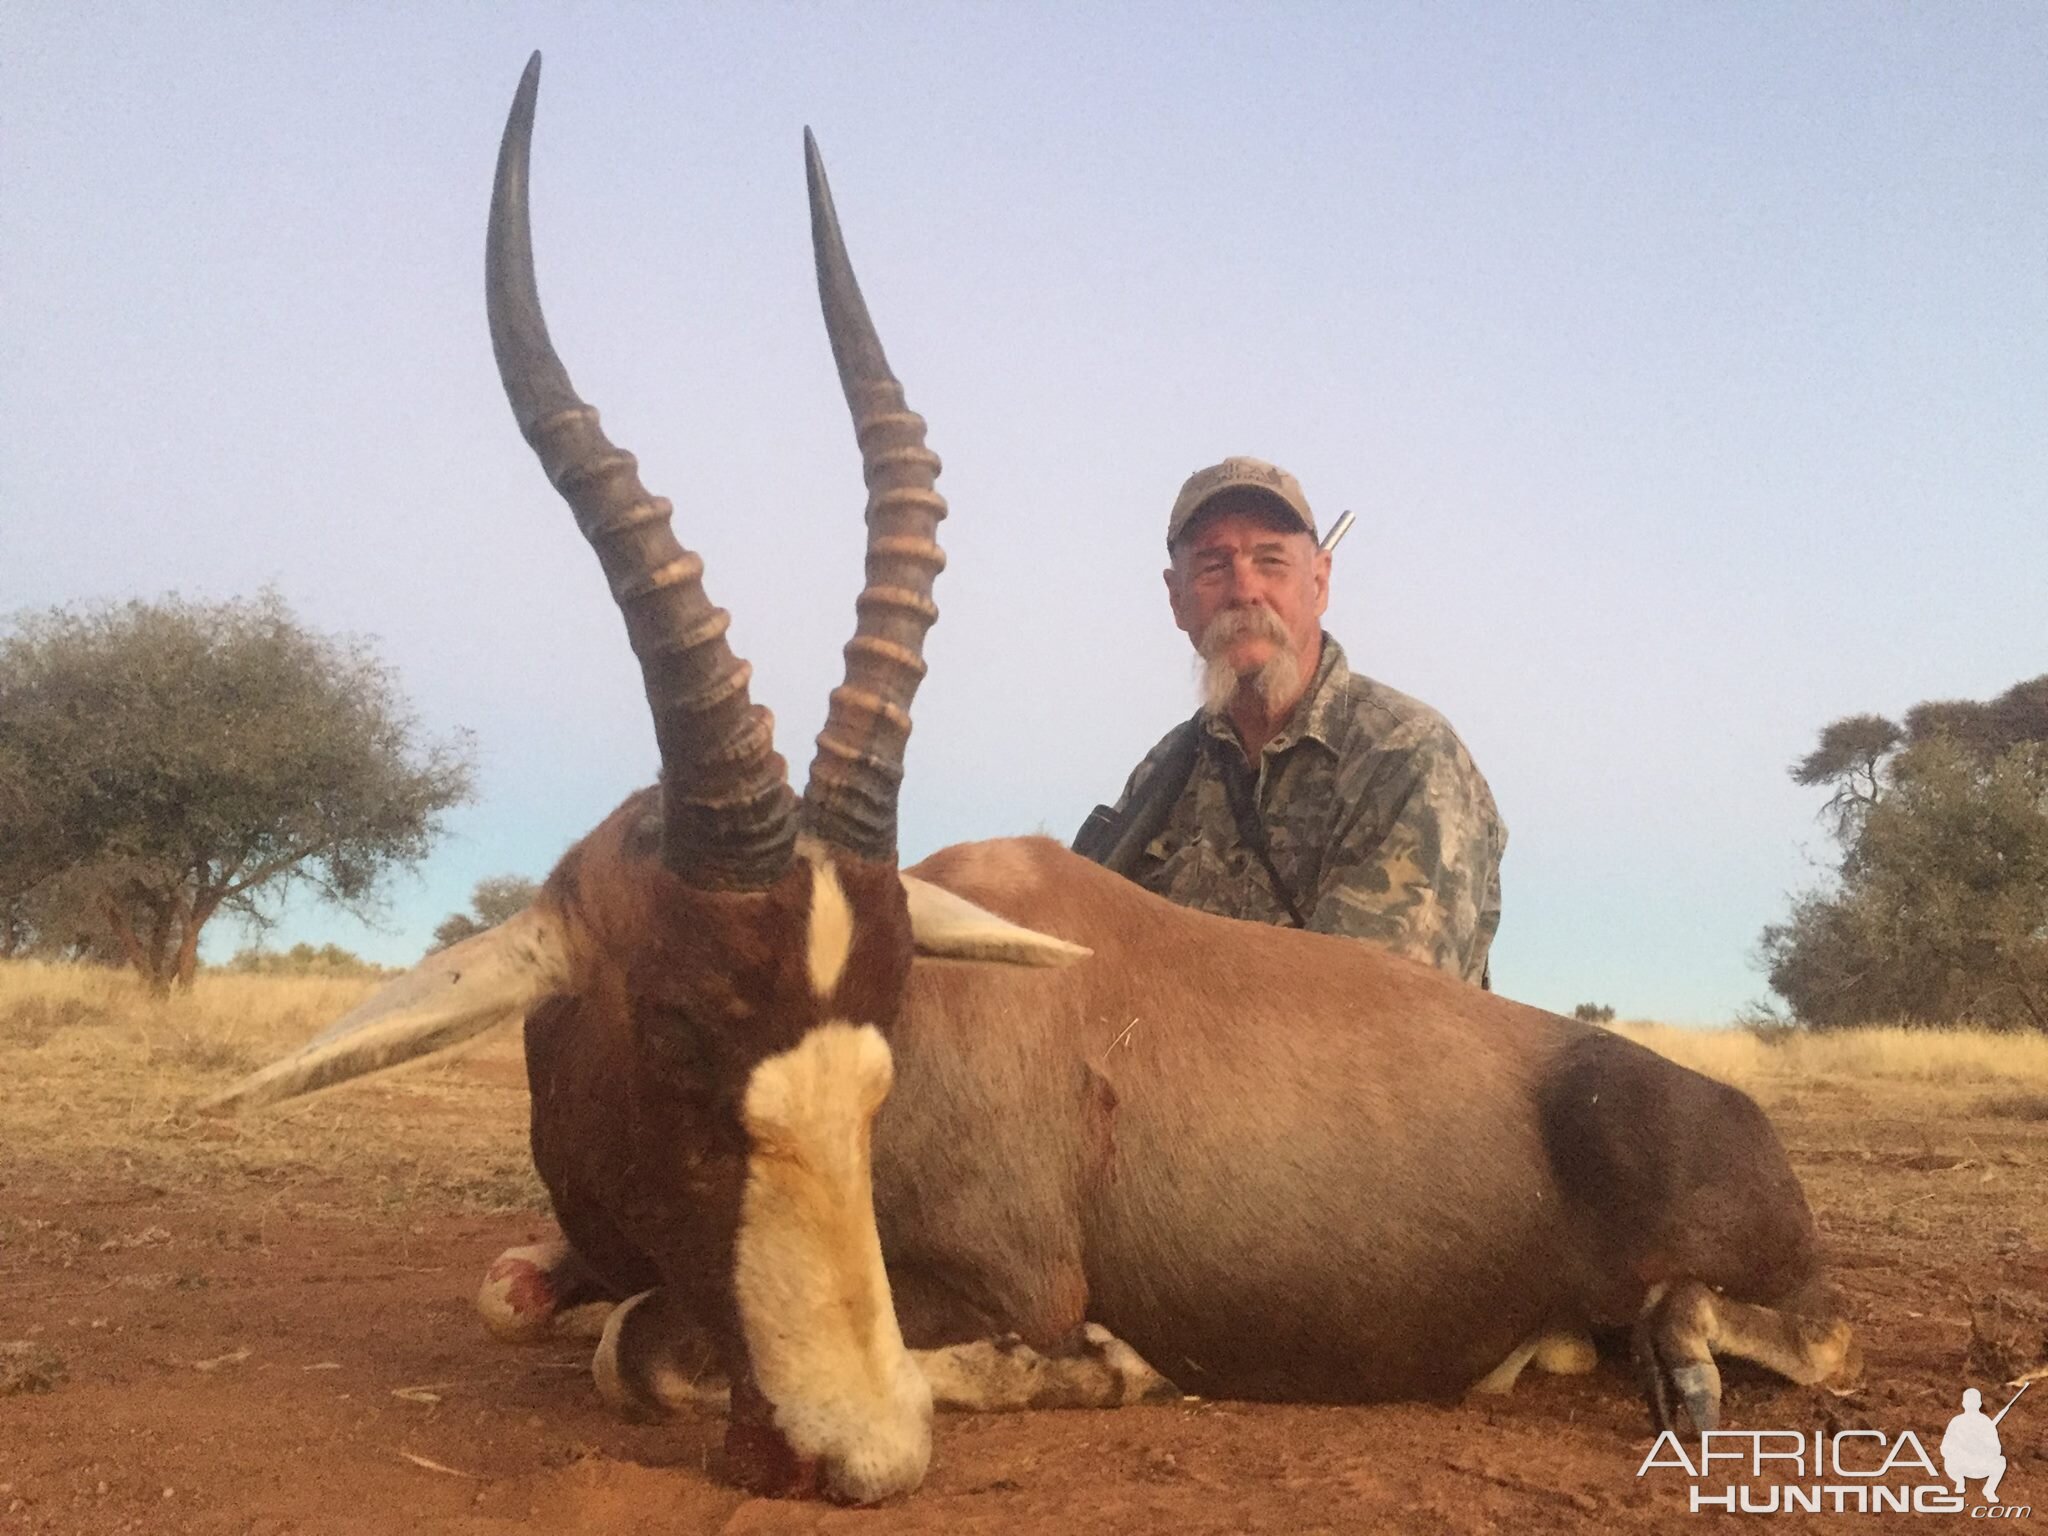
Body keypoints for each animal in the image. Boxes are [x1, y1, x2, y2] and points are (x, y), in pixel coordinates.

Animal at [203, 54, 1859, 1507]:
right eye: (676, 1022)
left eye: (886, 1028)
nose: (861, 1455)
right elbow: (516, 1293)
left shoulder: (997, 1281)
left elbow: (643, 1352)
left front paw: (1101, 1370)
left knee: (1813, 1329)